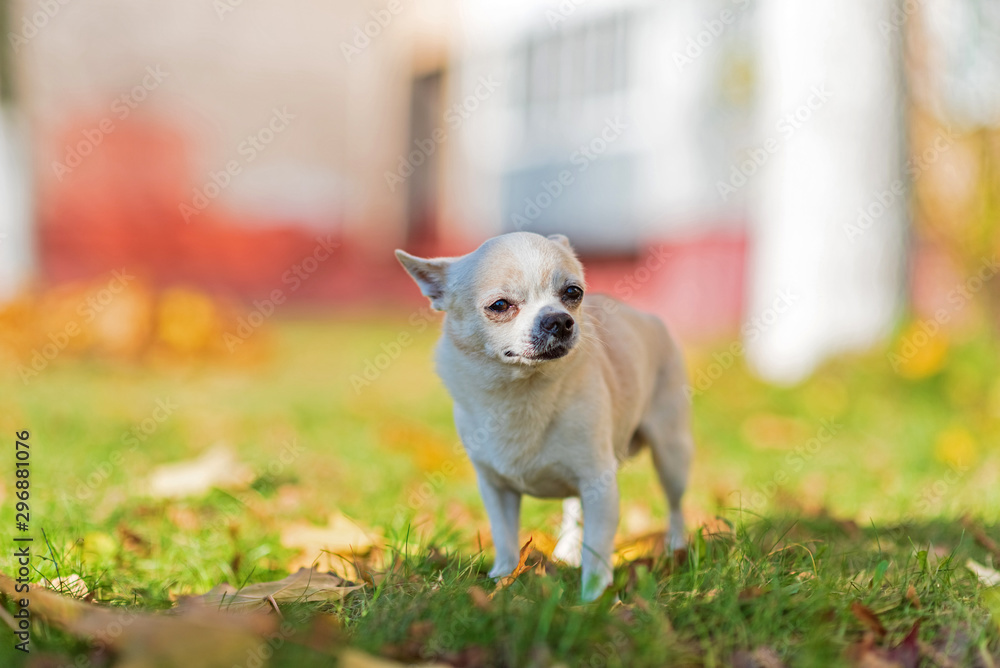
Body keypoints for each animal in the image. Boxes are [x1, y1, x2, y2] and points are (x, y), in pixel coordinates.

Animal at [394, 234, 692, 600]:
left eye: (573, 293)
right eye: (499, 305)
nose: (560, 320)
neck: (522, 393)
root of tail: (646, 316)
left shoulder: (599, 485)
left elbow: (597, 548)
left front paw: (593, 599)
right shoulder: (497, 489)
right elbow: (505, 539)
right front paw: (502, 582)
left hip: (671, 455)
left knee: (675, 506)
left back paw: (676, 550)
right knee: (573, 508)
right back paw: (566, 551)